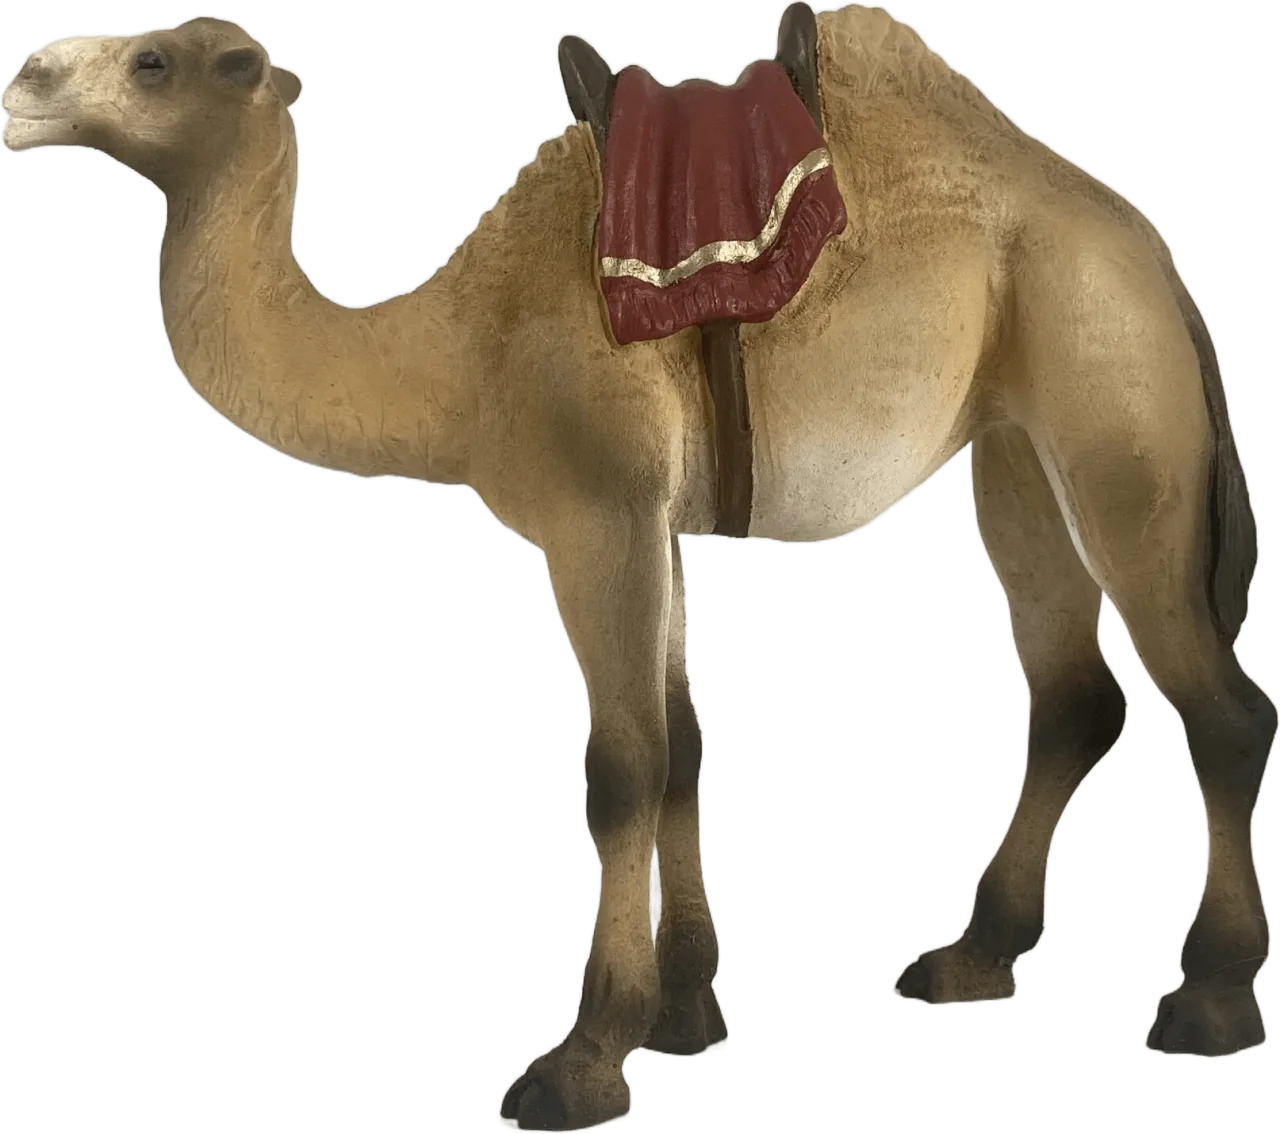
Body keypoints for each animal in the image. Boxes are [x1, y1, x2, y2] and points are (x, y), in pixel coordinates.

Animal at [3, 6, 1275, 1132]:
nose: (21, 82)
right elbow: (682, 750)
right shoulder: (652, 524)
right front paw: (685, 1011)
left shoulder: (595, 512)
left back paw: (1206, 1000)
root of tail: (1152, 258)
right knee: (1073, 696)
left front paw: (582, 1062)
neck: (461, 351)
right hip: (1014, 448)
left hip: (1108, 392)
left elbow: (620, 769)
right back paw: (971, 957)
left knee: (1219, 706)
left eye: (156, 61)